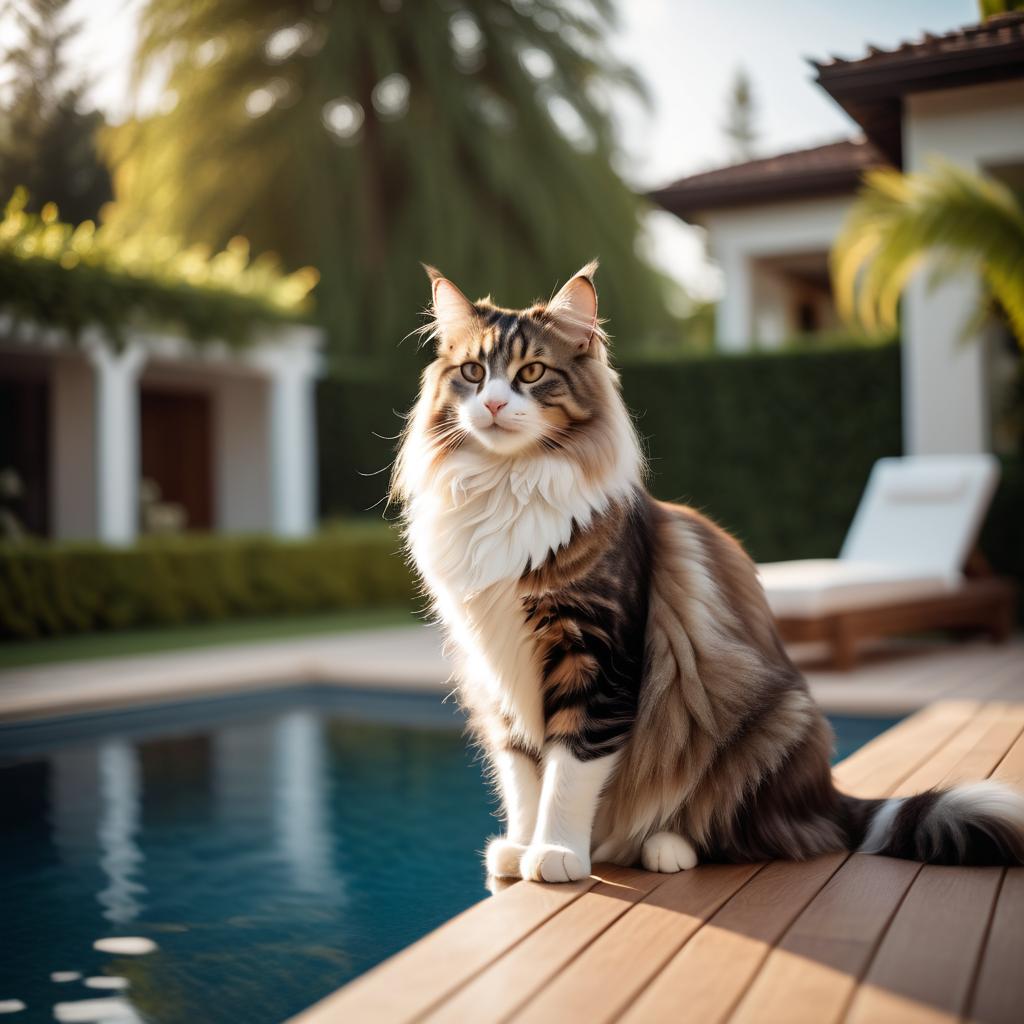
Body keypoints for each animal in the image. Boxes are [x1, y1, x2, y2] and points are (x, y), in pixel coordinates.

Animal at [389, 262, 1024, 880]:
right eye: (473, 372)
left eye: (531, 372)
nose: (493, 405)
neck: (506, 487)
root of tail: (826, 795)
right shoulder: (497, 671)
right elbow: (523, 775)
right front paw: (521, 848)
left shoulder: (597, 654)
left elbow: (569, 769)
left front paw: (557, 853)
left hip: (772, 726)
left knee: (743, 830)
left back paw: (665, 847)